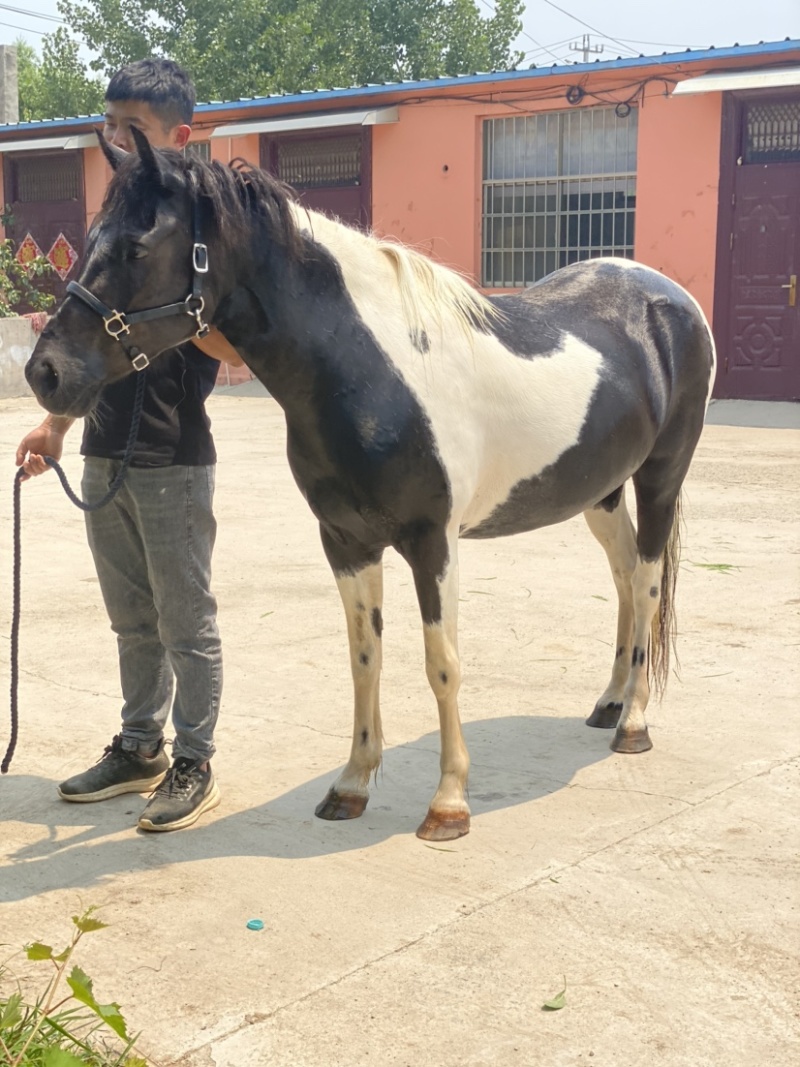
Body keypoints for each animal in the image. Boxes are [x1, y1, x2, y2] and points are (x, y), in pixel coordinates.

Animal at [25, 129, 716, 841]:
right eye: (90, 239)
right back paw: (608, 703)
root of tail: (667, 297)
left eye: (136, 247)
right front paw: (351, 785)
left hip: (660, 480)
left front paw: (448, 803)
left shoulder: (434, 543)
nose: (45, 373)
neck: (371, 371)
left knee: (648, 580)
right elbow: (364, 659)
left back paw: (633, 723)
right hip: (600, 492)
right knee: (624, 577)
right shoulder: (346, 542)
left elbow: (443, 664)